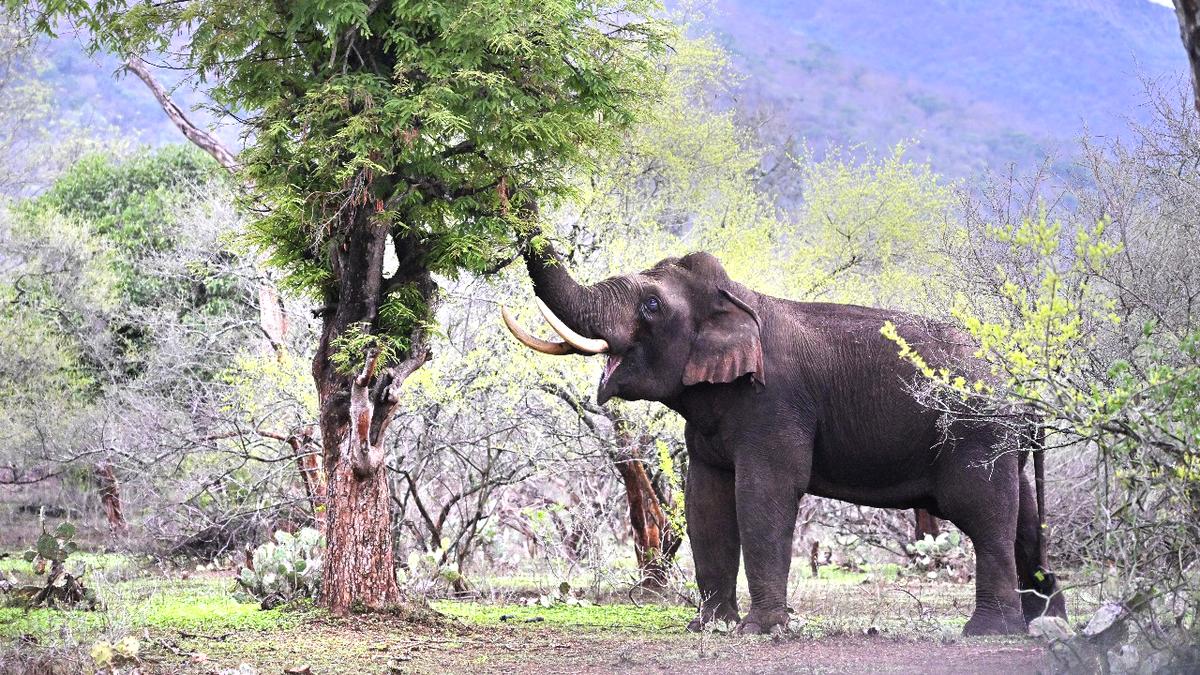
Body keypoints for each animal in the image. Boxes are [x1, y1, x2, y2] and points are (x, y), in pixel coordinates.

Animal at [499, 243, 1070, 634]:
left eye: (652, 307)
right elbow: (706, 499)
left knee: (986, 517)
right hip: (1005, 445)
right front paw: (710, 627)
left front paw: (761, 631)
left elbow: (765, 493)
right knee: (1025, 518)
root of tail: (1023, 387)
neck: (736, 298)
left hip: (978, 435)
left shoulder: (775, 404)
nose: (510, 193)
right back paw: (1046, 625)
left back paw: (990, 631)